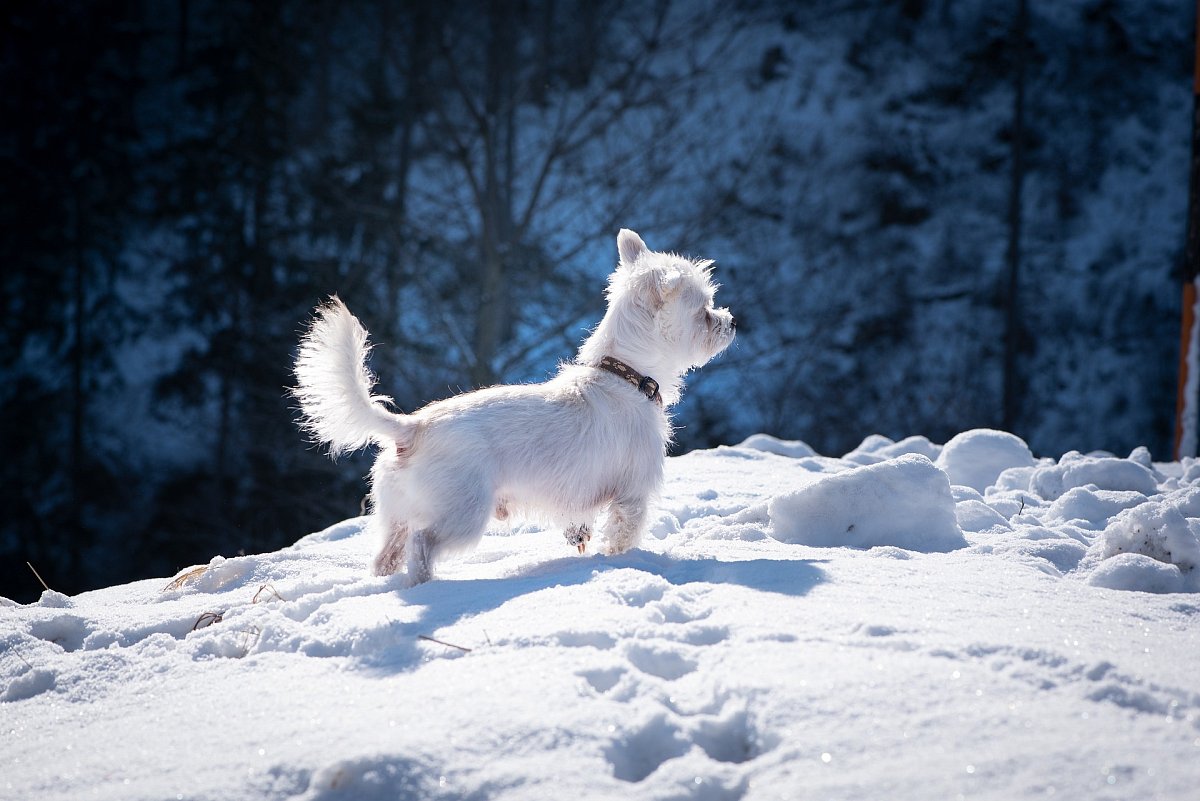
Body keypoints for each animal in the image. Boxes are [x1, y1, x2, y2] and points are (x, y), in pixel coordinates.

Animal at [295, 227, 734, 585]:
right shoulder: (632, 495)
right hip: (463, 514)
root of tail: (412, 428)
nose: (731, 322)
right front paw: (618, 562)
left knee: (388, 555)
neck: (624, 375)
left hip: (397, 514)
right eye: (703, 311)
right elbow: (623, 535)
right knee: (422, 546)